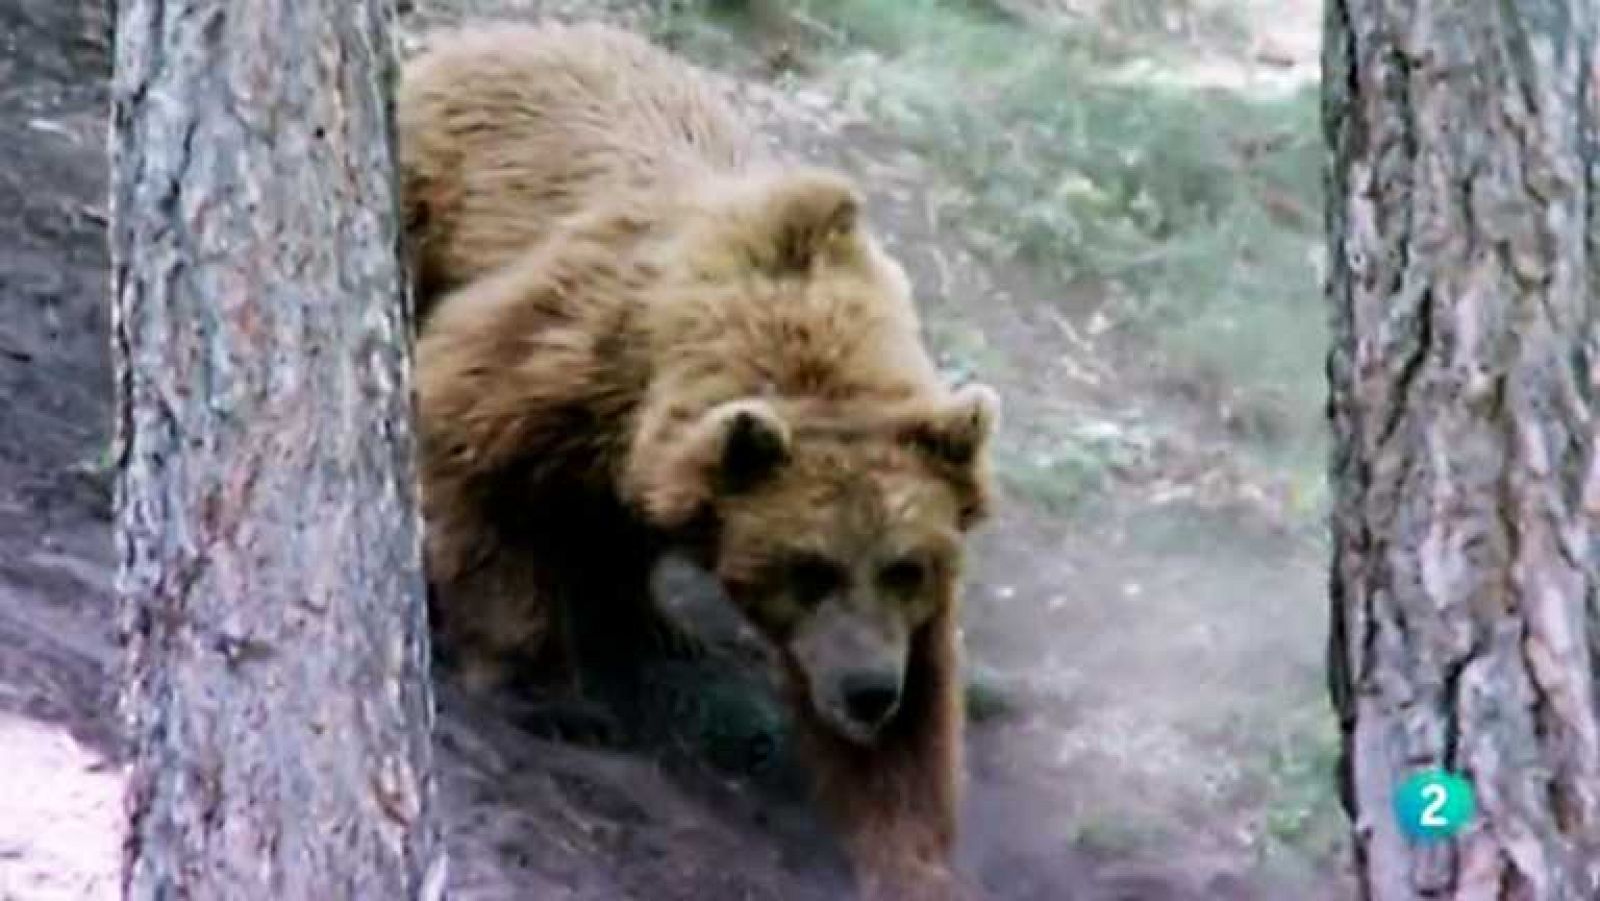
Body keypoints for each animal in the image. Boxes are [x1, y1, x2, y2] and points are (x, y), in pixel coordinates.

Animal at [398, 22, 992, 901]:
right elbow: (464, 434)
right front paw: (539, 681)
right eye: (809, 567)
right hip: (430, 208)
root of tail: (487, 33)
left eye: (905, 567)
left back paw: (652, 619)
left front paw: (908, 852)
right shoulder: (581, 354)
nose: (866, 692)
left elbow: (925, 710)